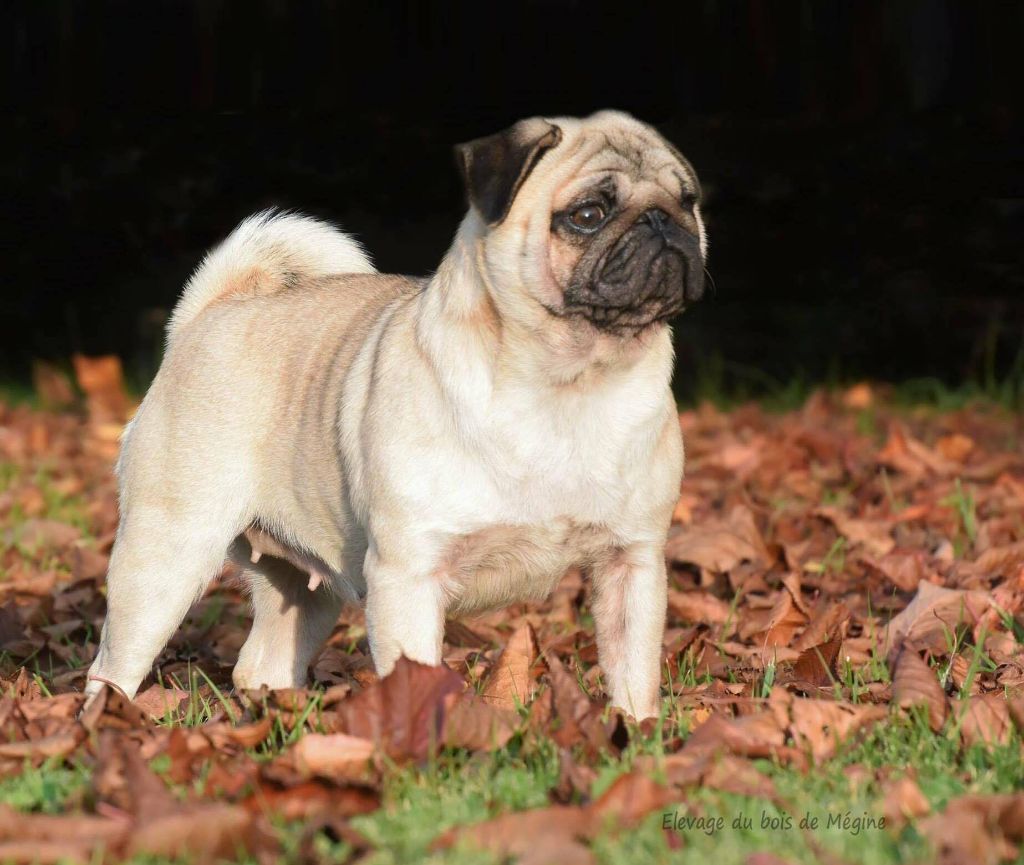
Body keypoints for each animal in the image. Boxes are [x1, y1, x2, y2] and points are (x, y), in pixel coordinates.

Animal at [86, 111, 704, 720]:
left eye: (688, 201)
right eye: (587, 215)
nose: (662, 221)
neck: (568, 384)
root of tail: (207, 314)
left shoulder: (632, 564)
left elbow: (633, 673)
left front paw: (636, 735)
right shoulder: (408, 575)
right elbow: (418, 677)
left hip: (304, 591)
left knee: (262, 660)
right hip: (166, 555)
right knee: (112, 664)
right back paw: (104, 720)